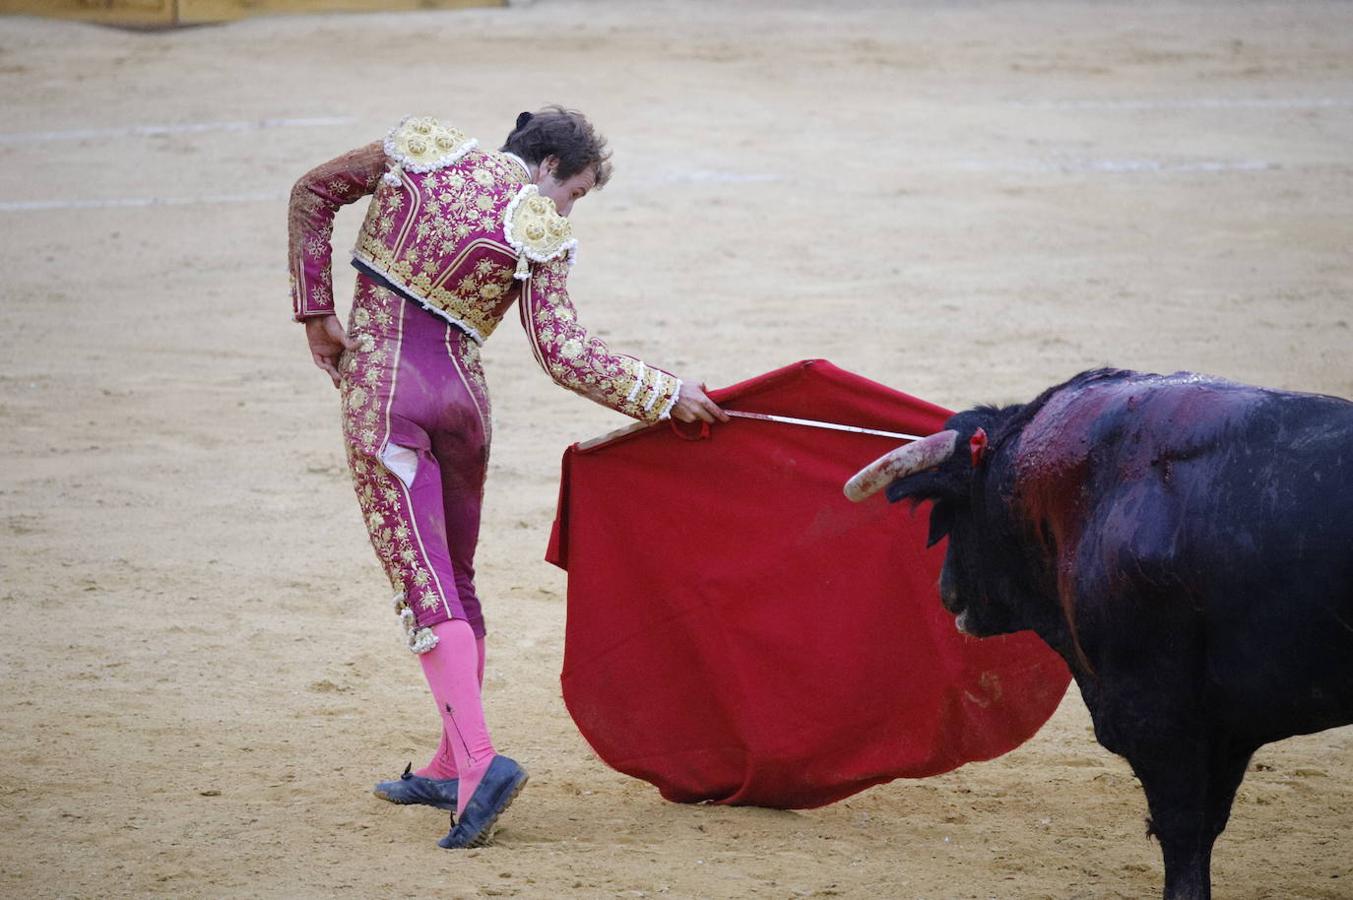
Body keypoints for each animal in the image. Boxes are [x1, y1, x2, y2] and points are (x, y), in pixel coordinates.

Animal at [844, 368, 1353, 898]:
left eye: (955, 509)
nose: (945, 592)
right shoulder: (1227, 730)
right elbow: (1206, 828)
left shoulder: (1158, 715)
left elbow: (1183, 836)